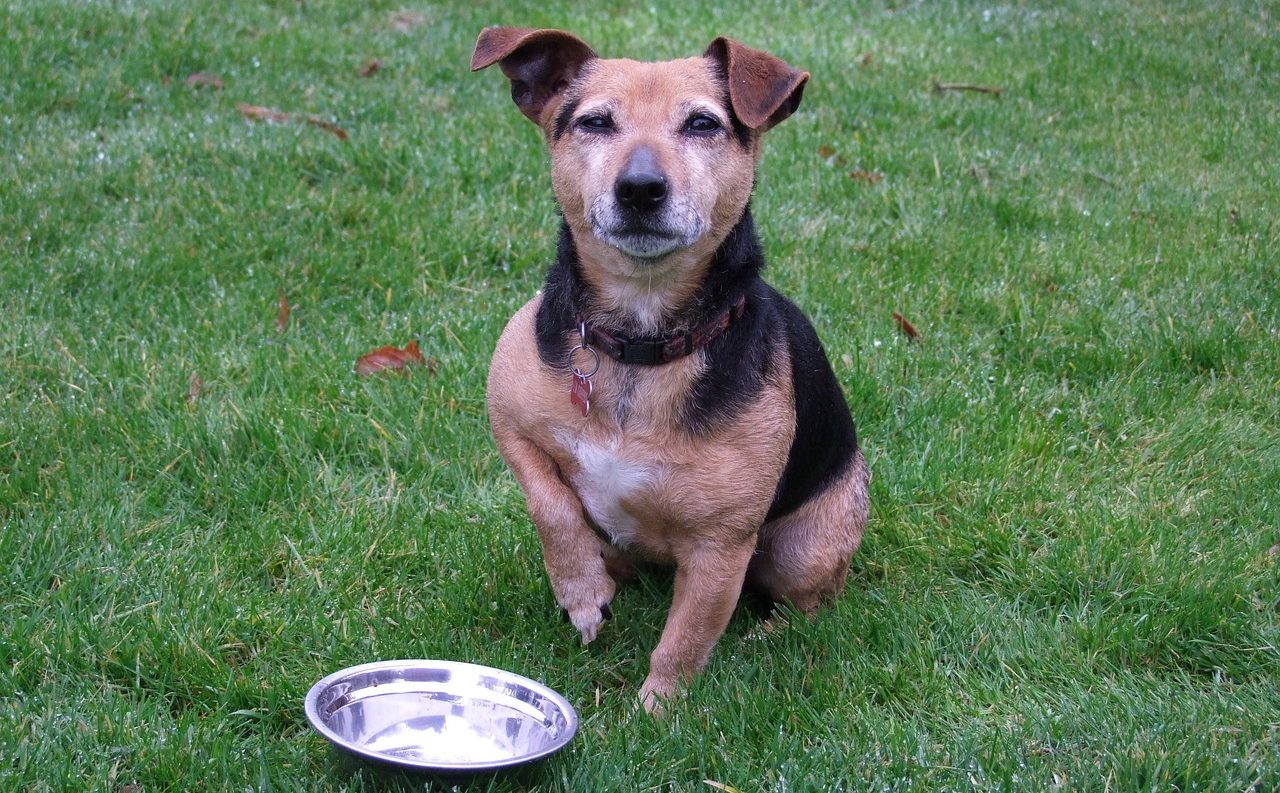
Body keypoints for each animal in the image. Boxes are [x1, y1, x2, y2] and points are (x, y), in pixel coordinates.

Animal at [476, 26, 875, 711]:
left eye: (701, 124)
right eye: (595, 122)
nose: (640, 188)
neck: (642, 342)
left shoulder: (721, 549)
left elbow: (684, 644)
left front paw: (653, 715)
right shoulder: (509, 419)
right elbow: (550, 504)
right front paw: (580, 593)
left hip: (806, 547)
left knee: (807, 608)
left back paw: (766, 638)